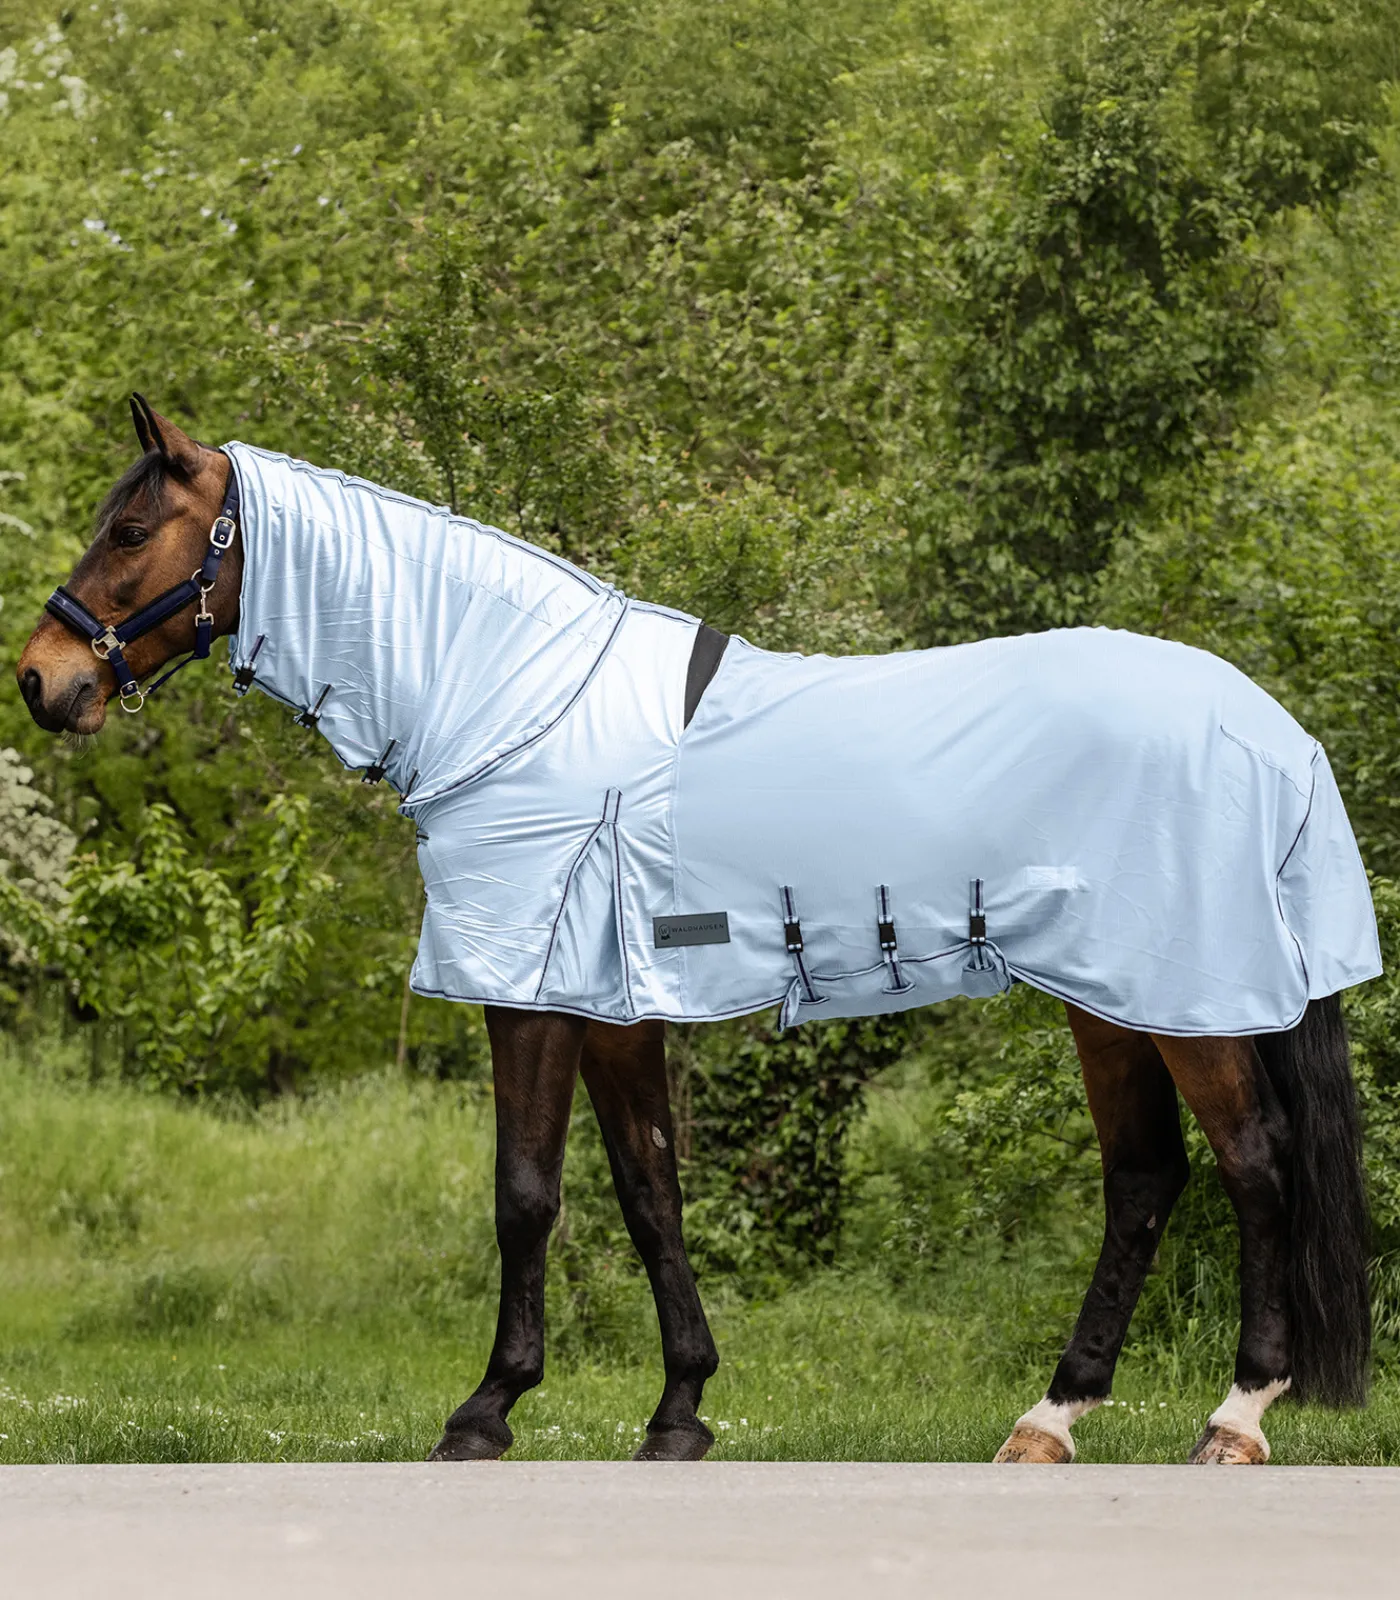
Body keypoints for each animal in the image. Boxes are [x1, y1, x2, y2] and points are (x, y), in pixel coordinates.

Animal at [17, 396, 1375, 1467]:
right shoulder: (615, 1010)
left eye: (131, 530)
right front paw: (677, 1411)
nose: (41, 680)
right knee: (1143, 1180)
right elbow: (648, 1191)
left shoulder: (534, 997)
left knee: (1254, 1164)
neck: (509, 698)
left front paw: (485, 1410)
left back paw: (1233, 1418)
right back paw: (1049, 1419)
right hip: (1113, 1001)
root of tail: (1267, 726)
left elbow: (526, 1194)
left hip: (1183, 1001)